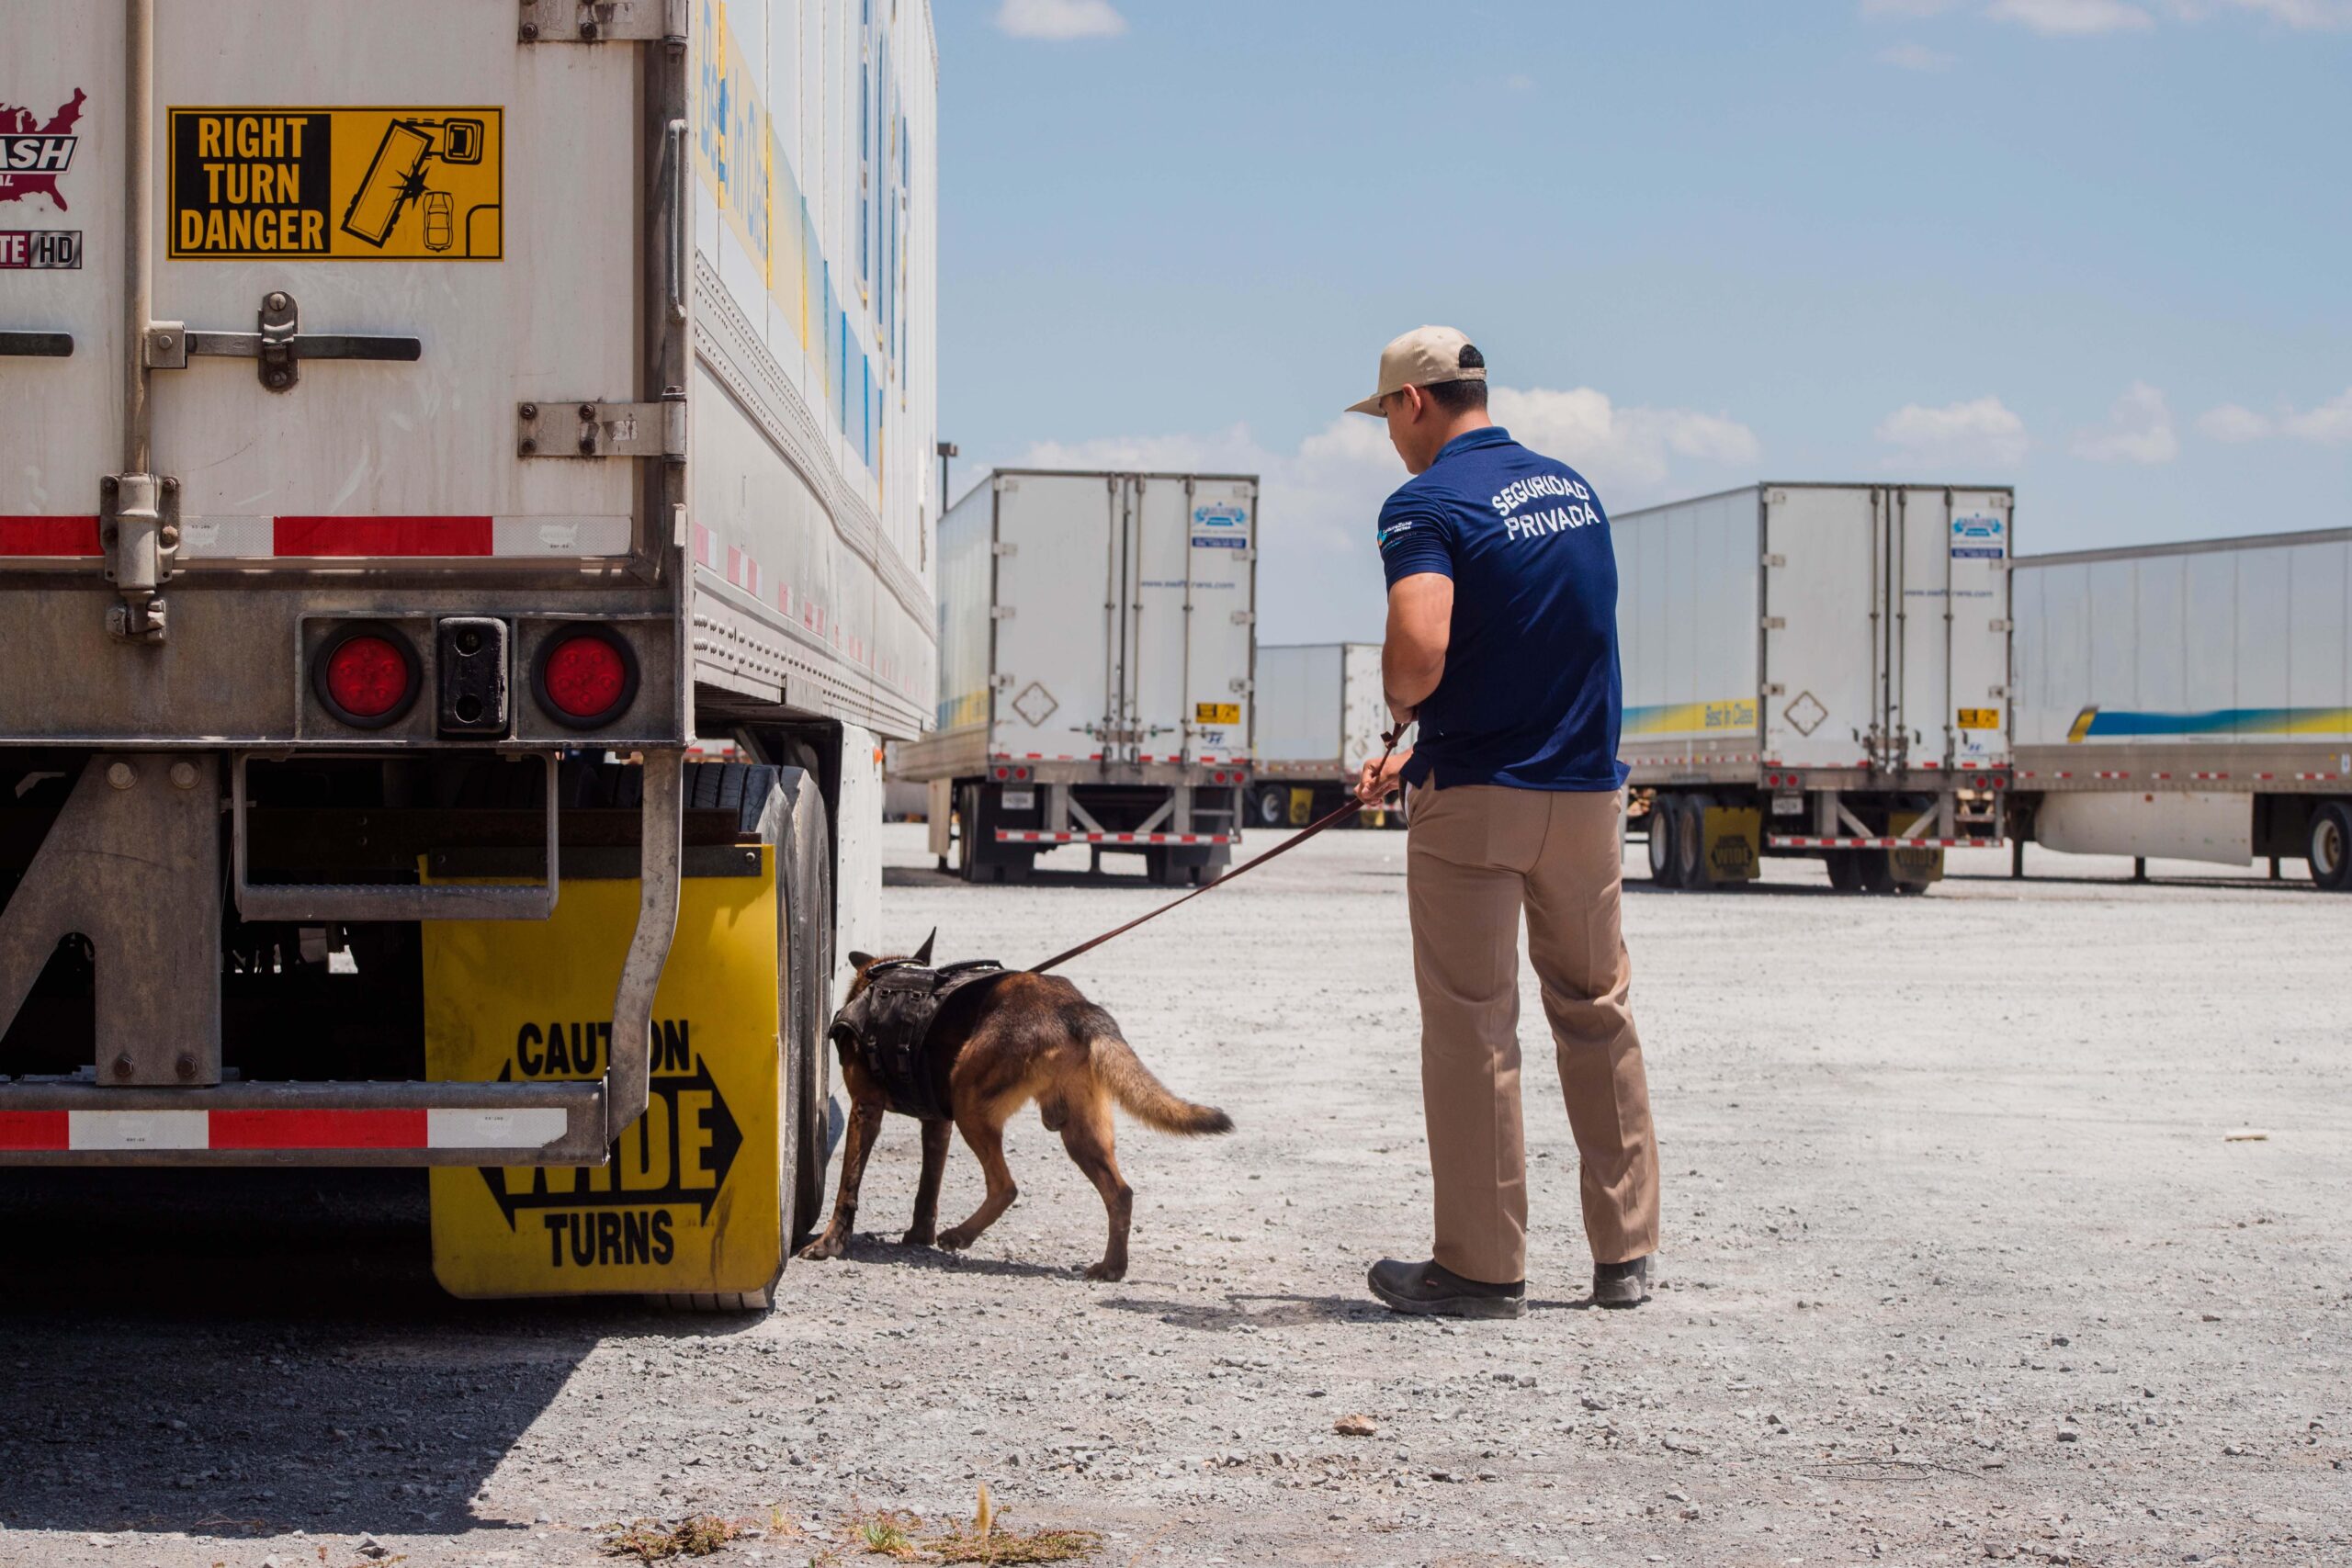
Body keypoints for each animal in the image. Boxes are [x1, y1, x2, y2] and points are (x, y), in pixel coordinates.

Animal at [799, 949, 1232, 1279]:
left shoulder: (866, 1109)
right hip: (1080, 1132)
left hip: (969, 1101)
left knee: (1005, 1186)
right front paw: (918, 1235)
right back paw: (1111, 1266)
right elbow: (928, 1187)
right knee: (1119, 1193)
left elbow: (848, 1186)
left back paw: (962, 1235)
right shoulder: (937, 1123)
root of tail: (1076, 1007)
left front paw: (830, 1243)